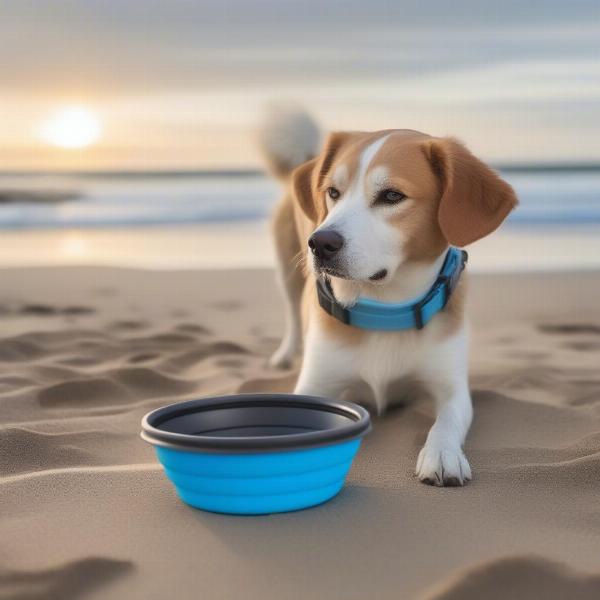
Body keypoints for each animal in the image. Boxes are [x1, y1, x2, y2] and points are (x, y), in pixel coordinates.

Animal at [260, 109, 516, 488]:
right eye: (333, 192)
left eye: (392, 196)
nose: (319, 243)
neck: (384, 310)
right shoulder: (316, 383)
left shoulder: (452, 388)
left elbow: (447, 421)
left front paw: (443, 455)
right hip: (287, 267)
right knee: (293, 312)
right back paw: (285, 353)